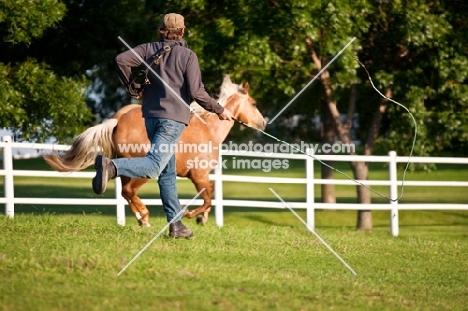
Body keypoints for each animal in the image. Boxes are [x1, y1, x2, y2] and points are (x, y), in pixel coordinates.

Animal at [44, 75, 266, 227]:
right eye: (254, 103)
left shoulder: (200, 176)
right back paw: (145, 216)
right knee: (129, 190)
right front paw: (190, 214)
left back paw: (142, 218)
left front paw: (201, 218)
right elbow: (208, 196)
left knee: (125, 191)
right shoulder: (198, 175)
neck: (209, 128)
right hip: (147, 170)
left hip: (124, 168)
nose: (264, 122)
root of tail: (118, 120)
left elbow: (210, 193)